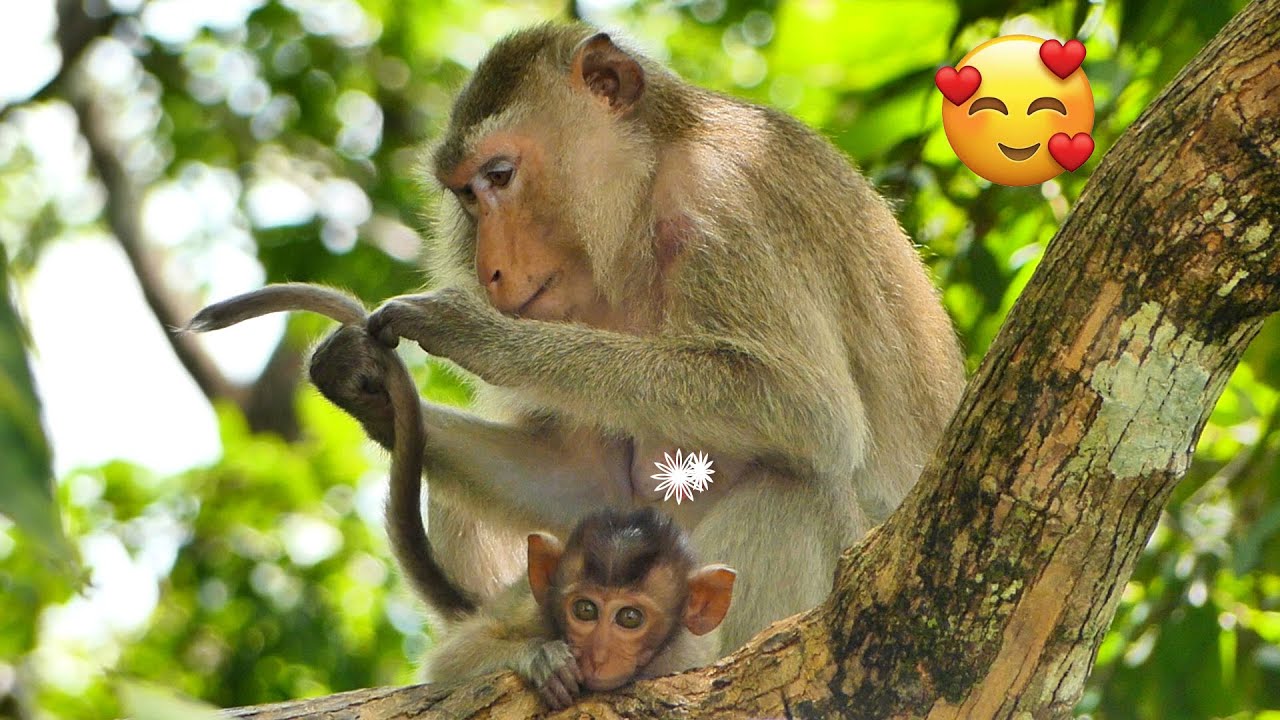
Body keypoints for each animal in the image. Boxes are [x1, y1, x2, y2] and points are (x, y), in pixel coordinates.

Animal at [301, 23, 966, 655]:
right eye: (467, 195)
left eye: (500, 176)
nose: (489, 270)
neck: (644, 197)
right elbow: (591, 487)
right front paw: (360, 379)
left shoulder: (726, 201)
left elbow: (809, 407)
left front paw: (475, 332)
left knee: (793, 490)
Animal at [425, 507, 735, 710]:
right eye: (585, 610)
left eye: (630, 617)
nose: (598, 657)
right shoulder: (532, 611)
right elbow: (449, 660)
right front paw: (542, 657)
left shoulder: (688, 653)